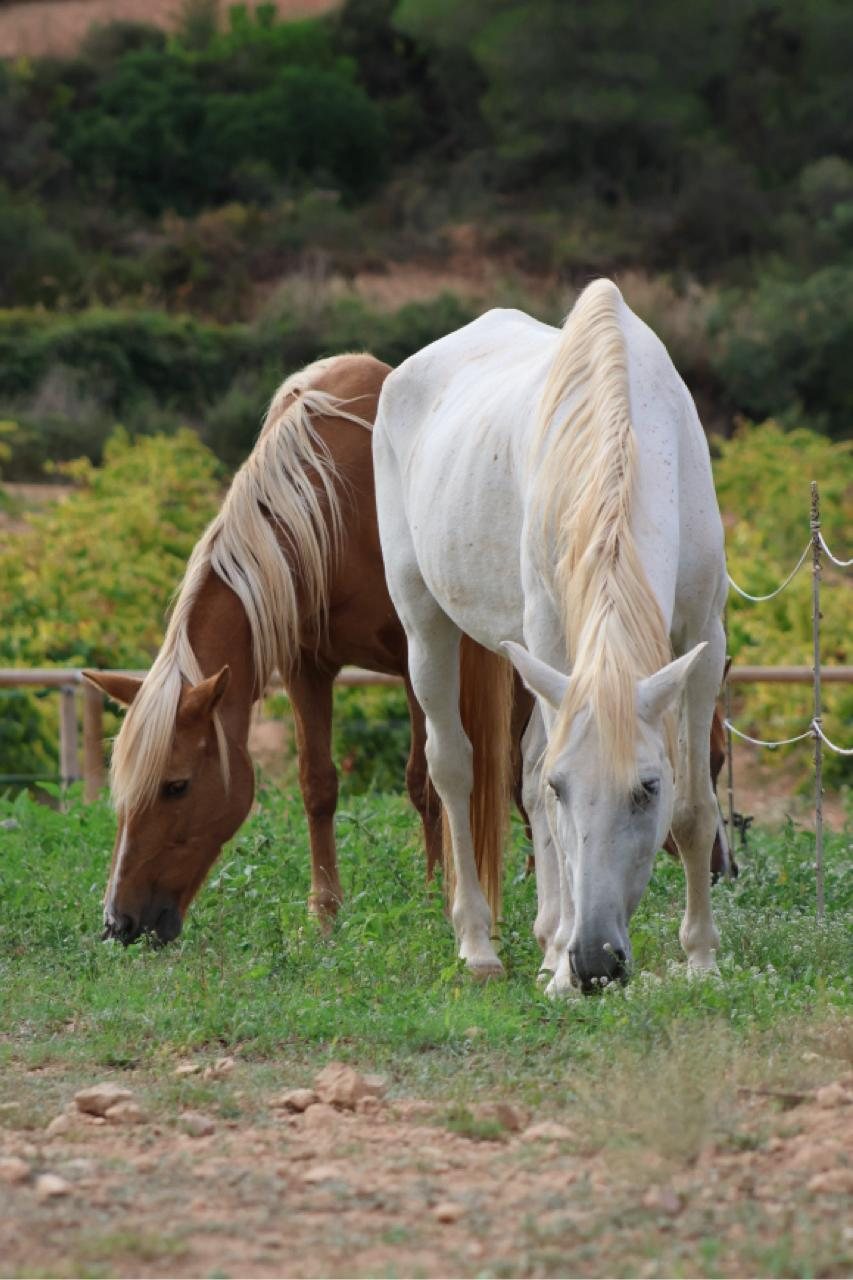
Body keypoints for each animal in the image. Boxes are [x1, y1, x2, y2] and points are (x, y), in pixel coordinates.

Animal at [84, 354, 511, 945]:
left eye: (176, 786)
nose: (119, 923)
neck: (337, 505)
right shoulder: (306, 668)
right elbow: (317, 785)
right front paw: (324, 913)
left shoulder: (414, 661)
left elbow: (423, 784)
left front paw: (433, 898)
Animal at [373, 279, 728, 992]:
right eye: (570, 790)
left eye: (647, 788)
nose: (596, 962)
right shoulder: (551, 639)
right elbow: (538, 780)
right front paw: (562, 966)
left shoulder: (704, 638)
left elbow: (696, 809)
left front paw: (701, 958)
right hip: (425, 623)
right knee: (455, 767)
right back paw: (482, 944)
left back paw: (546, 940)